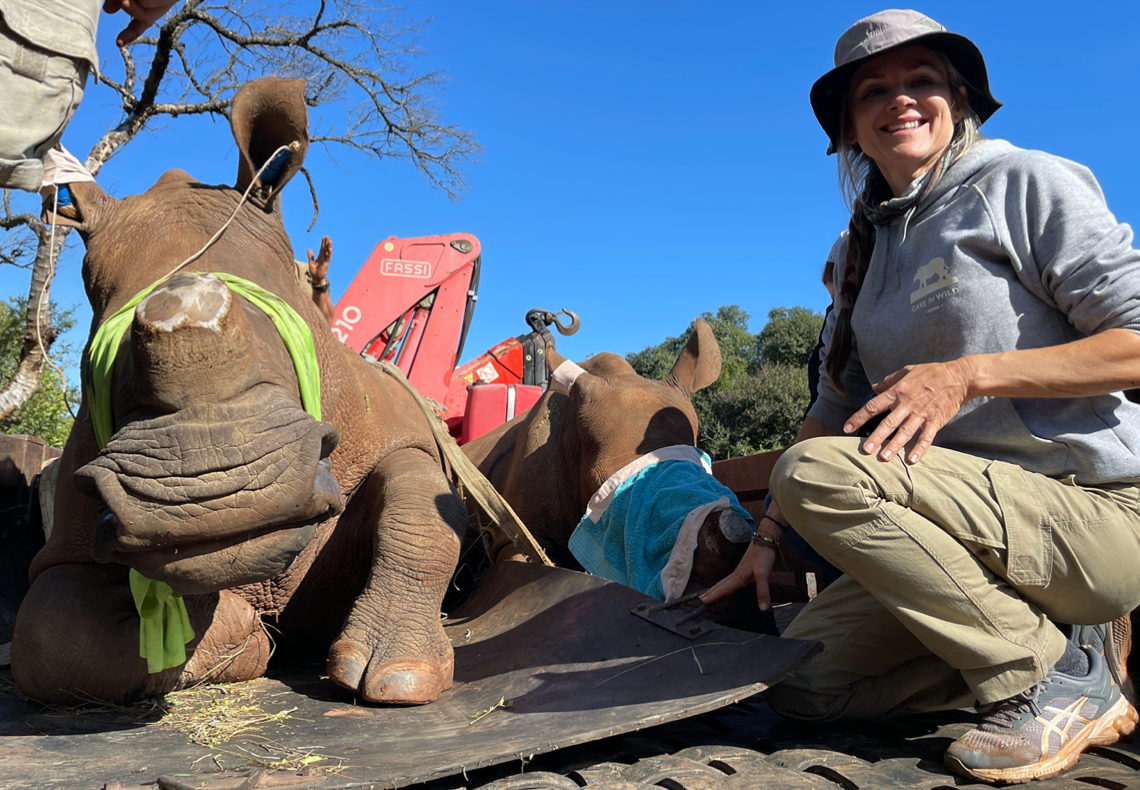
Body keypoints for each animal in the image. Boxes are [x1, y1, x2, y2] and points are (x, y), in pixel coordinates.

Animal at [13, 80, 467, 706]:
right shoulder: (67, 534)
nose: (213, 490)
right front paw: (237, 630)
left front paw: (400, 678)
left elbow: (420, 500)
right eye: (105, 348)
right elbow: (51, 634)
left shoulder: (404, 435)